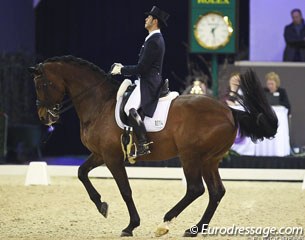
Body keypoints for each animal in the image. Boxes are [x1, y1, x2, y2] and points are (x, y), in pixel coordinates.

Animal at [27, 55, 276, 237]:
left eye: (42, 84)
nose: (43, 117)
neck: (99, 104)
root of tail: (230, 111)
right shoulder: (100, 154)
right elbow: (81, 172)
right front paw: (101, 205)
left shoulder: (112, 157)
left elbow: (125, 190)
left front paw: (130, 226)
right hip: (210, 159)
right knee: (216, 192)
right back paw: (195, 229)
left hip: (191, 156)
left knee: (196, 189)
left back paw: (165, 222)